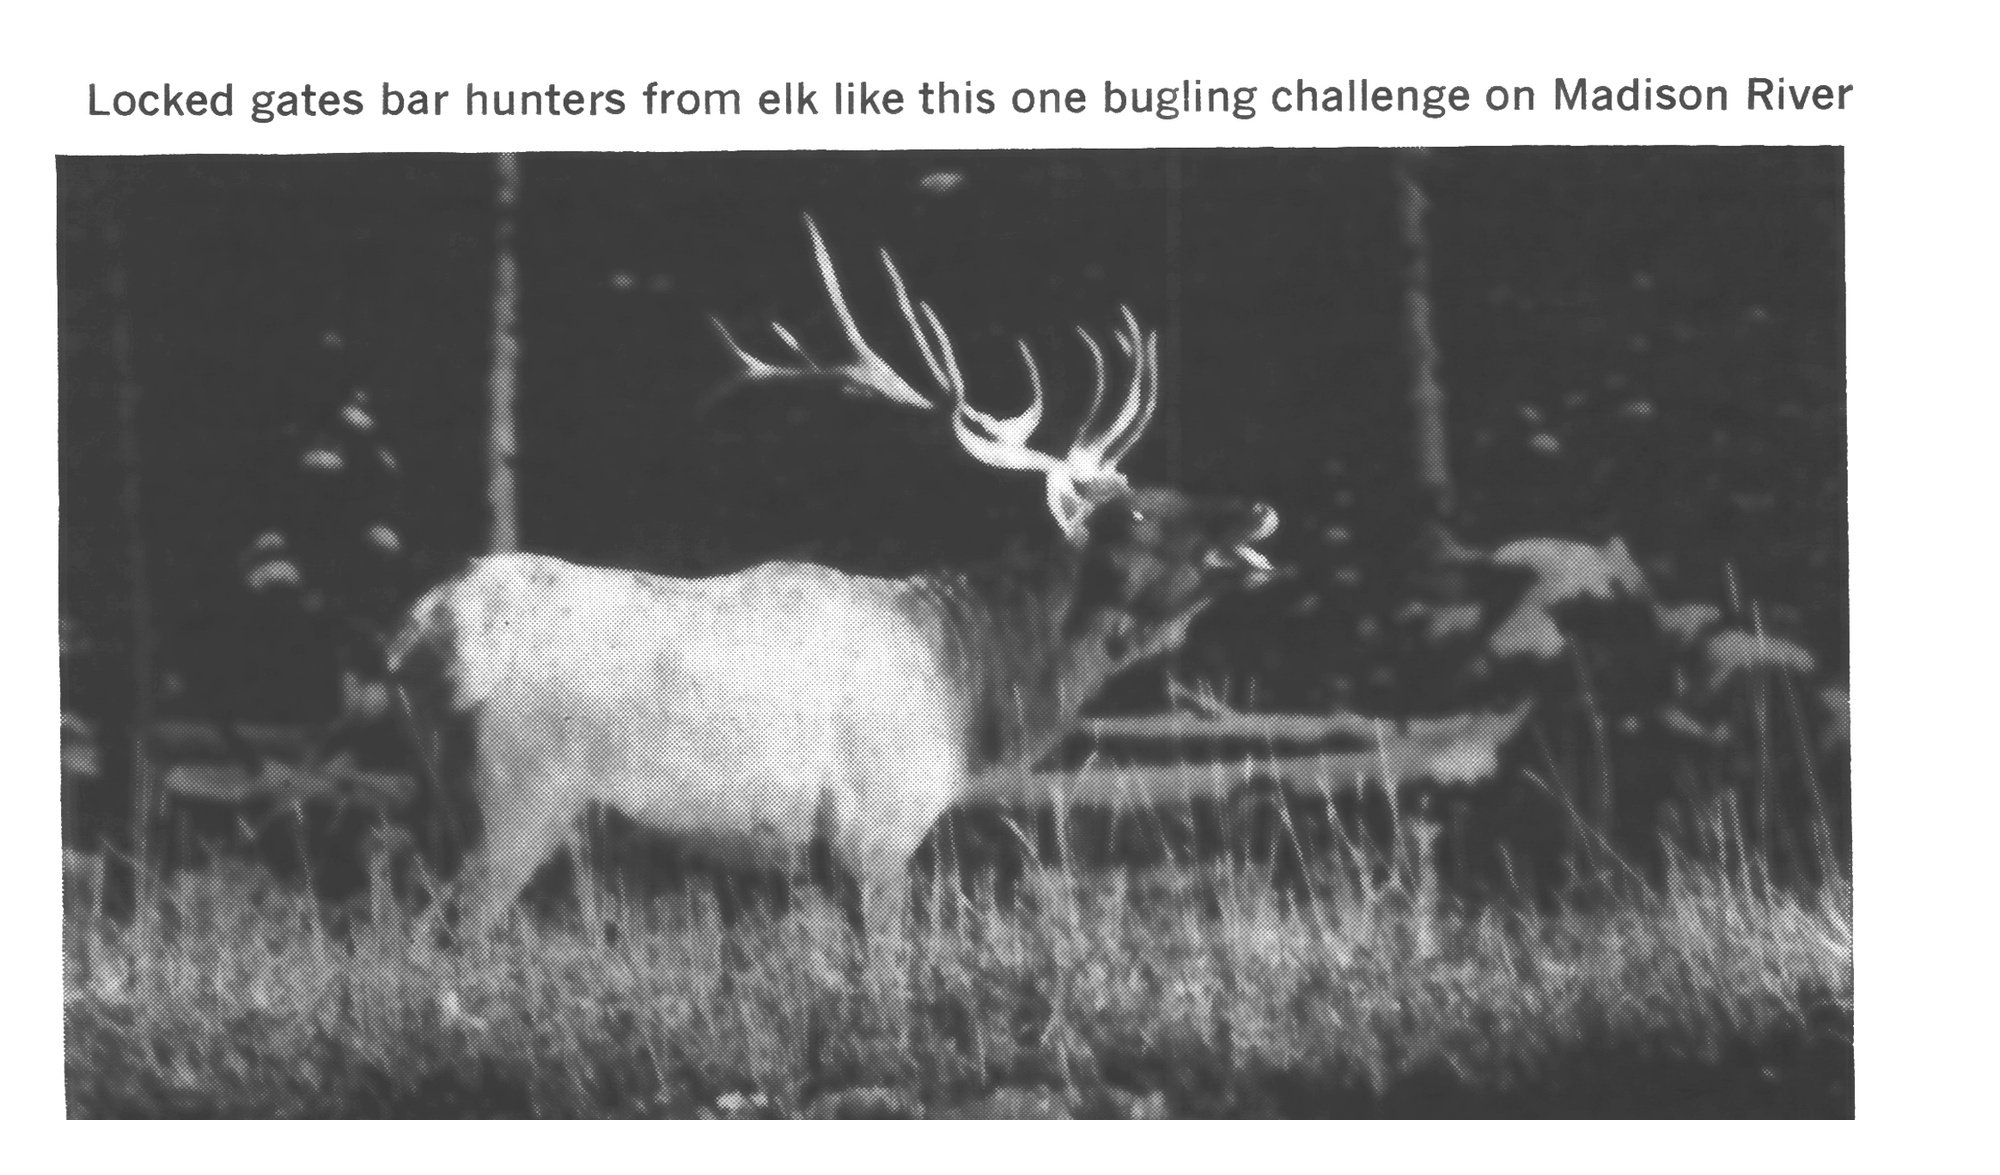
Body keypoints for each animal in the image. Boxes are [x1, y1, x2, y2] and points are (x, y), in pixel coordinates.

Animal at [387, 217, 1280, 938]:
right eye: (1136, 514)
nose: (1258, 510)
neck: (967, 693)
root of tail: (417, 631)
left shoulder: (799, 865)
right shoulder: (874, 829)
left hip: (438, 804)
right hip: (513, 799)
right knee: (436, 938)